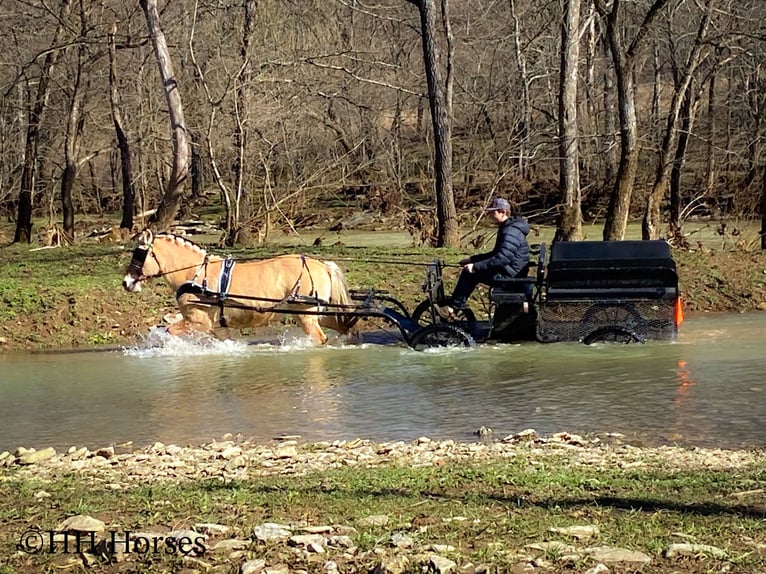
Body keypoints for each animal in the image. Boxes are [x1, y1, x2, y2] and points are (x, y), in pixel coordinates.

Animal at [122, 229, 358, 344]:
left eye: (139, 253)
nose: (126, 282)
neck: (196, 274)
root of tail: (323, 265)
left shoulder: (199, 322)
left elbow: (170, 330)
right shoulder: (218, 327)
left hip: (306, 315)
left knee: (320, 338)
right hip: (317, 313)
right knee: (341, 326)